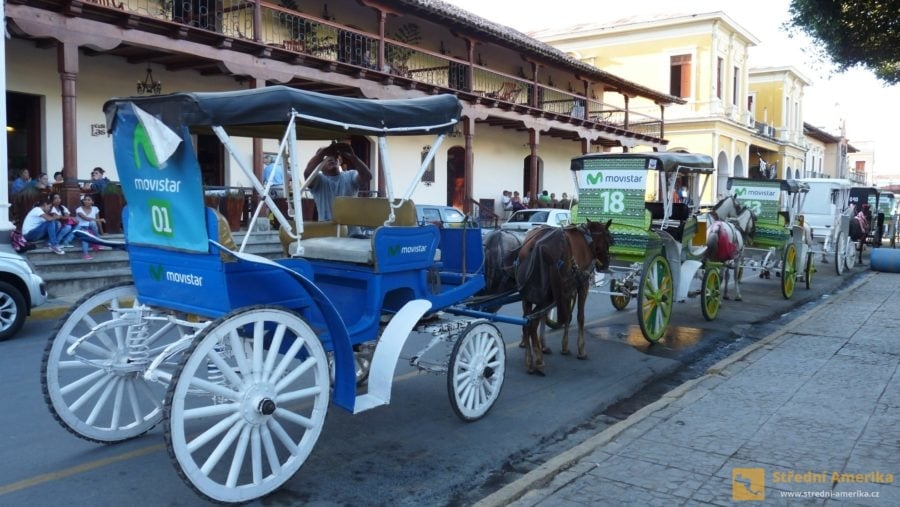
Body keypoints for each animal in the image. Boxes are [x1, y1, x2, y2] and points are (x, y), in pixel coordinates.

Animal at [512, 220, 612, 376]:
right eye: (608, 238)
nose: (606, 263)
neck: (587, 239)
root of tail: (531, 247)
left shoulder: (567, 290)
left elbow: (568, 316)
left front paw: (564, 346)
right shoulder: (582, 285)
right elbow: (579, 317)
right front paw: (581, 350)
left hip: (528, 297)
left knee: (526, 322)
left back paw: (529, 361)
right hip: (546, 297)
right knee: (532, 323)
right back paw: (539, 361)